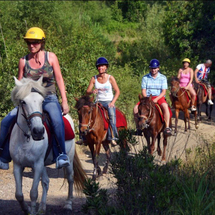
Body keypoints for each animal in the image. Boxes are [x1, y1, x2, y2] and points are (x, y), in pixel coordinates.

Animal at [9, 77, 86, 215]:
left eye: (42, 101)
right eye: (23, 102)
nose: (38, 131)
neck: (26, 138)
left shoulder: (37, 165)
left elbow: (33, 193)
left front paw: (32, 211)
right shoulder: (18, 165)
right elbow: (19, 194)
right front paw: (27, 209)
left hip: (69, 160)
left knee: (70, 178)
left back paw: (68, 204)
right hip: (43, 165)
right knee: (46, 182)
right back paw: (42, 207)